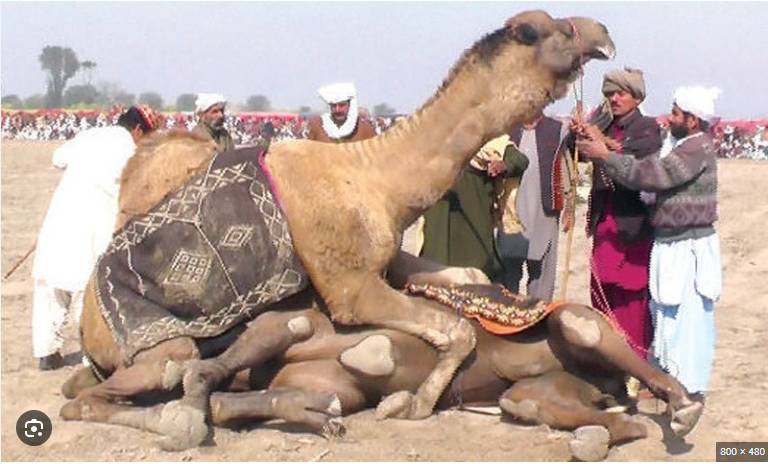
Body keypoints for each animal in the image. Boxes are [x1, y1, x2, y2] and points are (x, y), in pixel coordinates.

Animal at [61, 9, 618, 442]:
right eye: (545, 30)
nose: (602, 31)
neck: (374, 177)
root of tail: (86, 326)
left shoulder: (385, 260)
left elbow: (468, 278)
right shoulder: (349, 289)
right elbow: (457, 330)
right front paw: (413, 403)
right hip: (156, 345)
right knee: (102, 392)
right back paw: (178, 421)